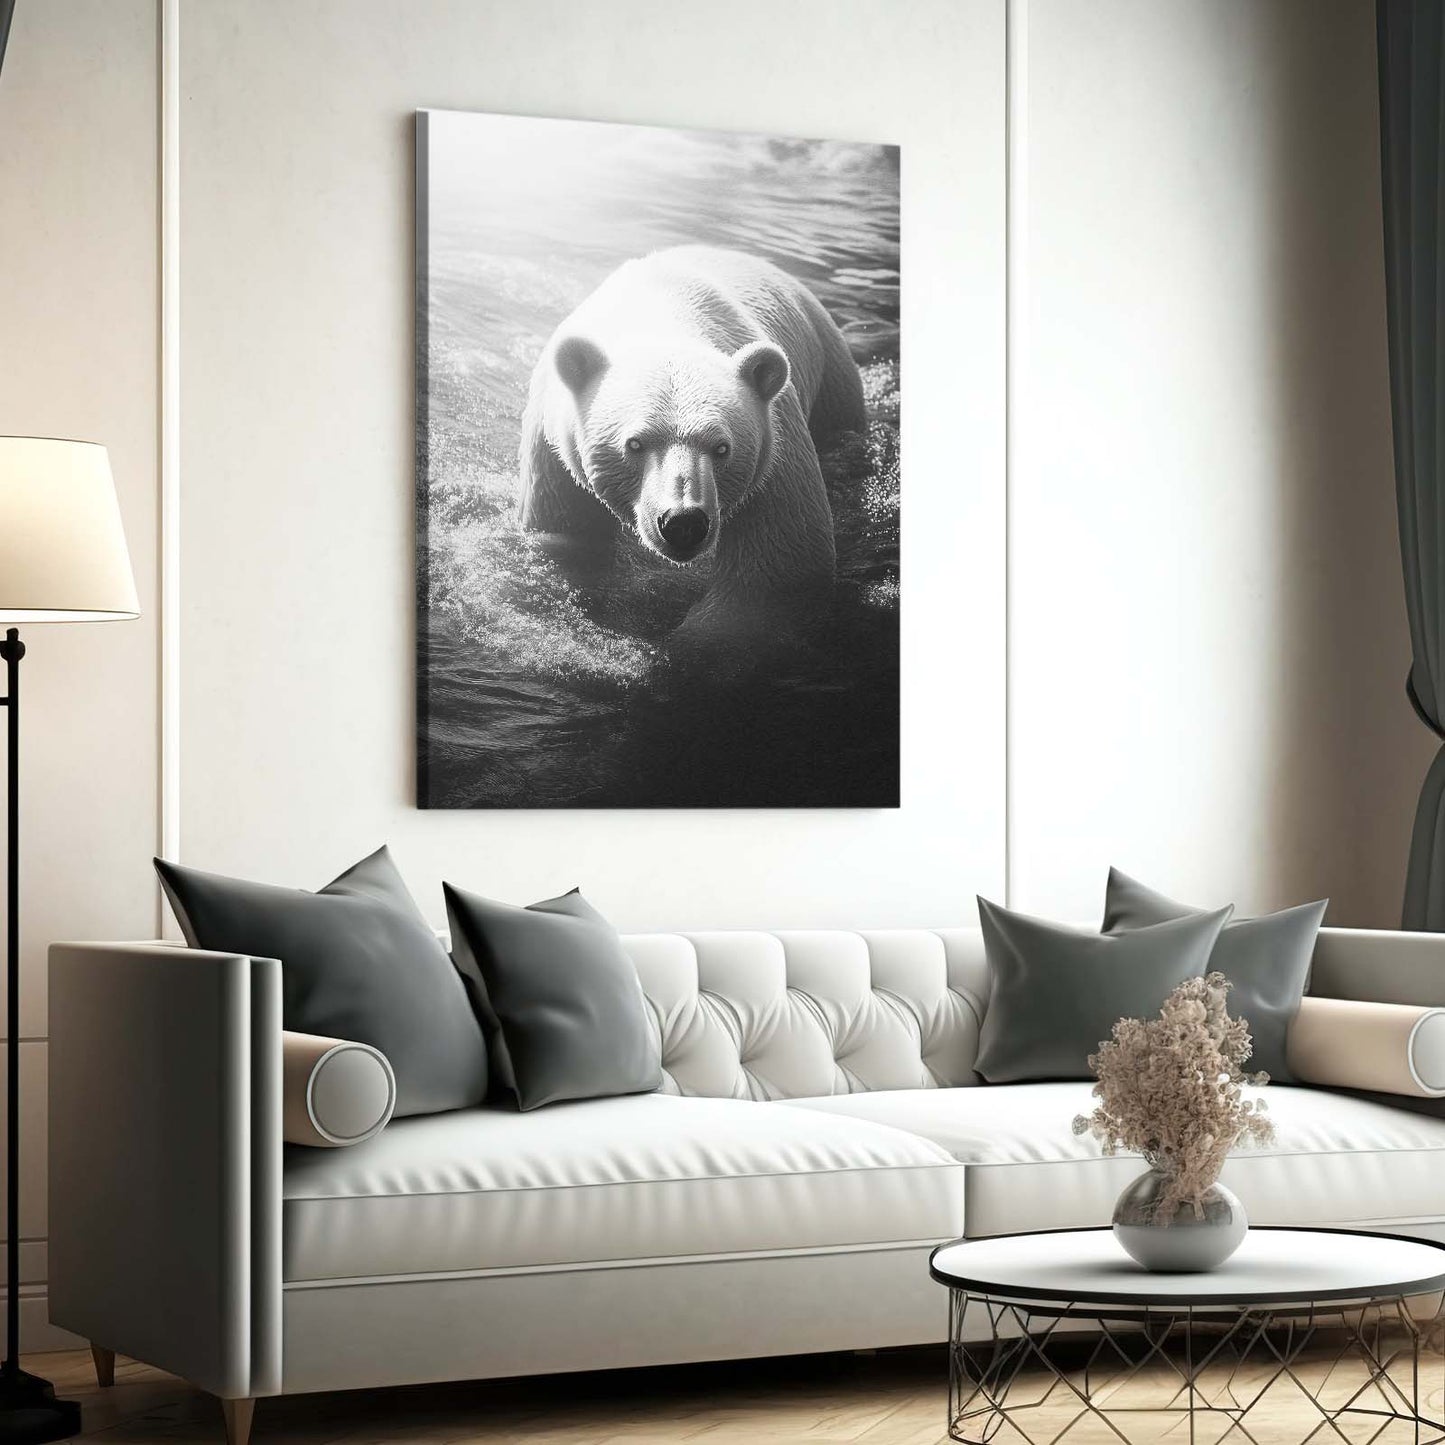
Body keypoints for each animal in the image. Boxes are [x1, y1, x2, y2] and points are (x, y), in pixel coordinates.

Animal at [517, 245, 866, 641]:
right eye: (634, 444)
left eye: (722, 448)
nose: (683, 523)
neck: (663, 312)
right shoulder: (554, 456)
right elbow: (567, 535)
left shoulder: (774, 450)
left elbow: (778, 571)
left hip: (832, 381)